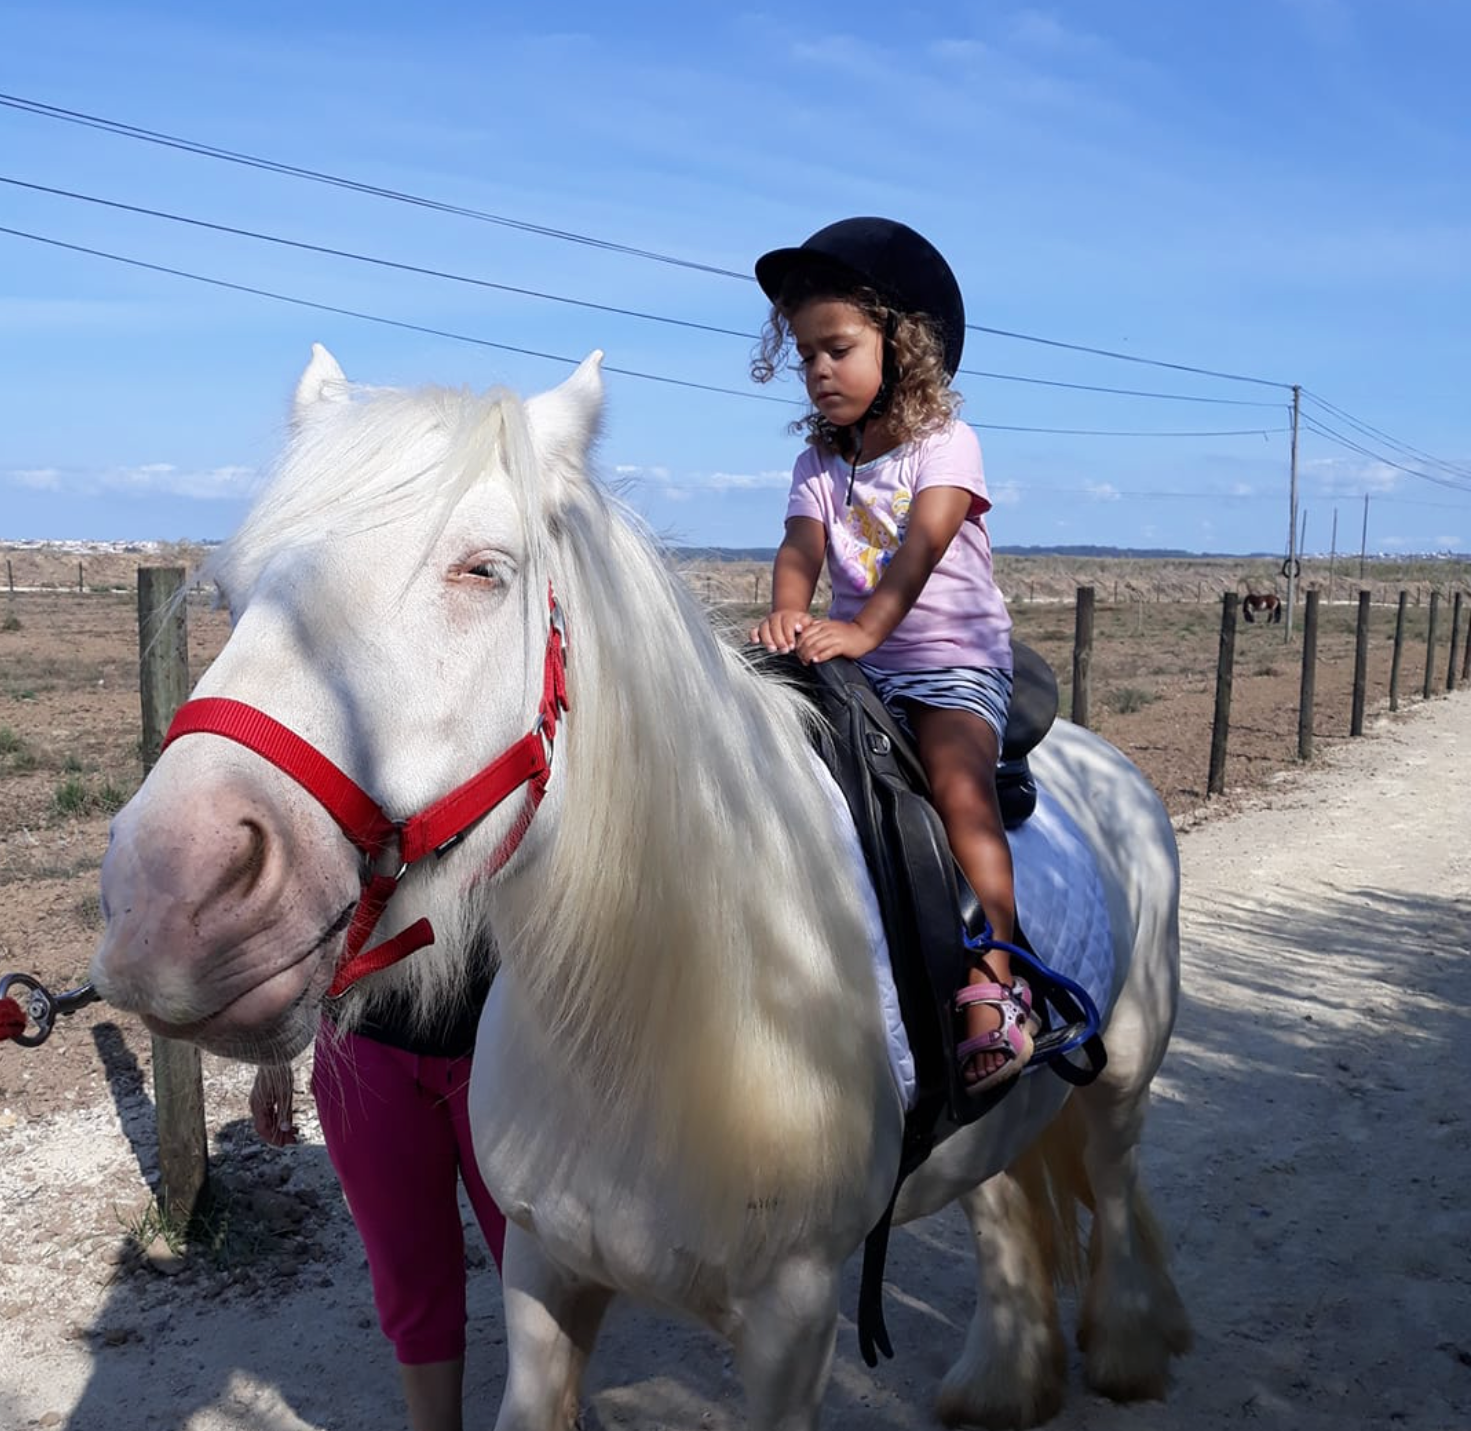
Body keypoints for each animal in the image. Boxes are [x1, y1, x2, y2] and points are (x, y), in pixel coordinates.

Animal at [90, 346, 1191, 1429]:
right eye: (234, 592)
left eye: (483, 570)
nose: (171, 897)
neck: (653, 1017)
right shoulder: (542, 1272)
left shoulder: (792, 1327)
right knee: (1001, 1205)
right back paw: (1000, 1384)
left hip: (1121, 1078)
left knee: (1114, 1185)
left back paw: (1128, 1352)